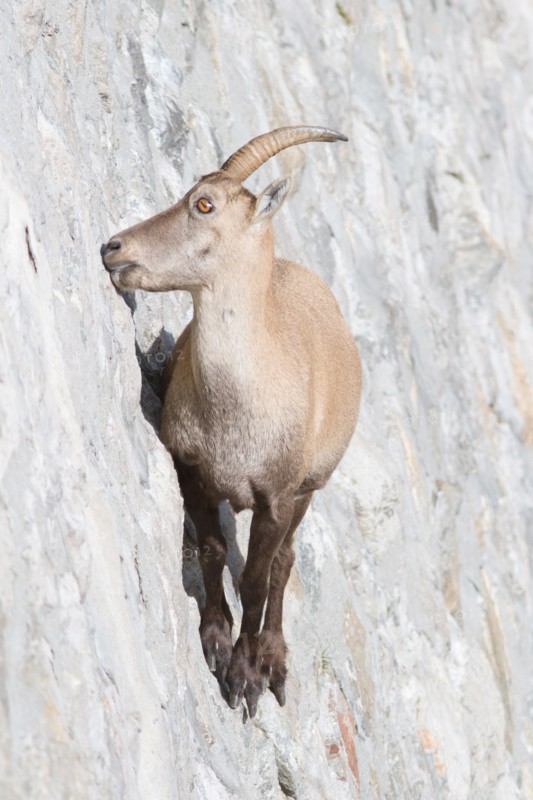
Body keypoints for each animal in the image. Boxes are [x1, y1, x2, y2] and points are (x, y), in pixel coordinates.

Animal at [101, 126, 362, 717]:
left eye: (204, 204)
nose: (112, 248)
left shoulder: (277, 496)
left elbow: (258, 580)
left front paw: (245, 677)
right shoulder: (191, 467)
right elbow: (214, 549)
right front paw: (216, 641)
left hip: (312, 486)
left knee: (286, 561)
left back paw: (275, 661)